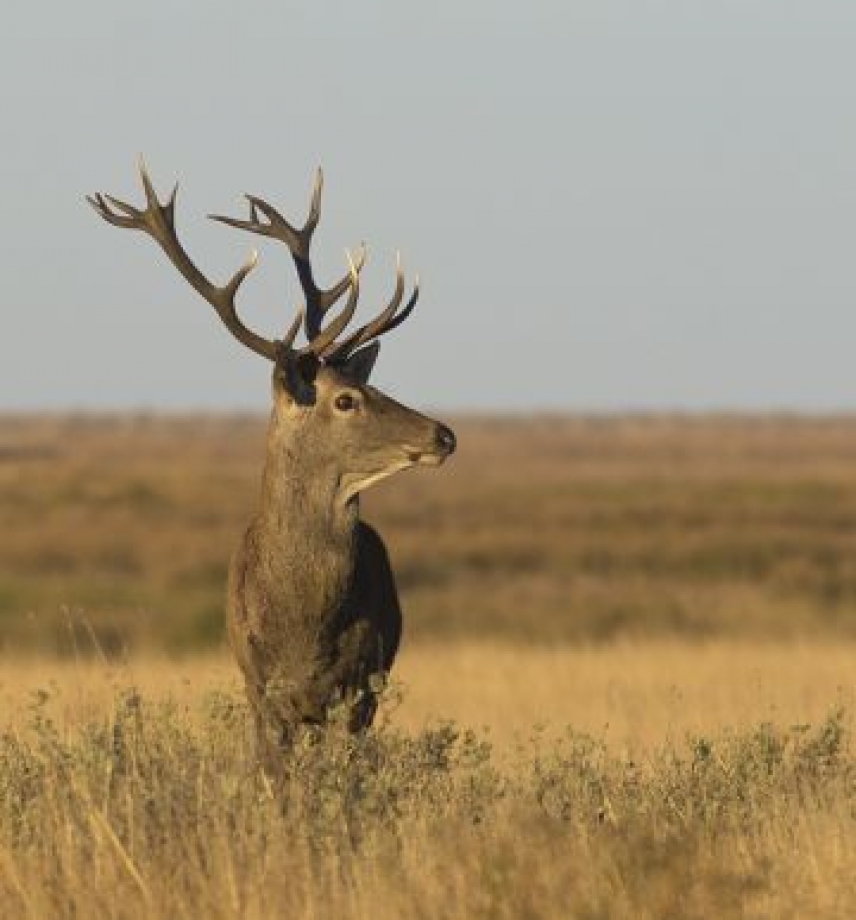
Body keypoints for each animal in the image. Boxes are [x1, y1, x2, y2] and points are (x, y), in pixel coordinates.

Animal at [88, 162, 454, 764]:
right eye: (345, 399)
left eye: (369, 384)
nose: (444, 434)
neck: (304, 626)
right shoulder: (259, 687)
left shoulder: (358, 690)